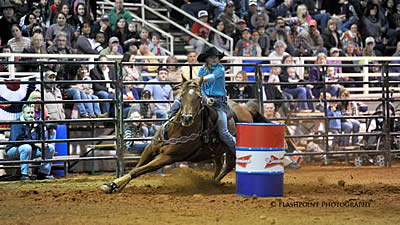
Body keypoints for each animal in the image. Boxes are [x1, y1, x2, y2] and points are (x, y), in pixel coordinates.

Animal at [100, 75, 268, 193]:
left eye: (199, 97)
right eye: (181, 96)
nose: (186, 118)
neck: (177, 130)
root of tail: (246, 110)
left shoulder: (168, 157)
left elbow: (138, 170)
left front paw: (113, 185)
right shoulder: (150, 148)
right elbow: (138, 166)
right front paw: (115, 185)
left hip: (228, 147)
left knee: (229, 164)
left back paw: (212, 183)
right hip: (215, 151)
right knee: (220, 164)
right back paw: (211, 182)